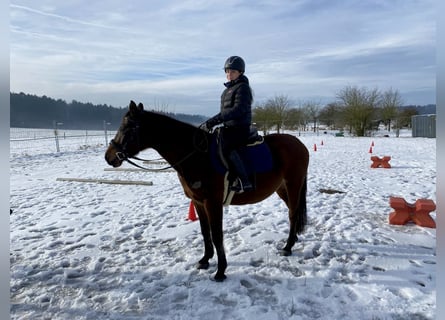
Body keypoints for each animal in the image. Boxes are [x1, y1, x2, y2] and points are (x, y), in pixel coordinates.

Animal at [104, 101, 308, 282]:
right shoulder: (198, 201)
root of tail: (299, 143)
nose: (109, 157)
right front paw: (204, 260)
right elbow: (204, 231)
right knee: (294, 212)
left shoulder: (212, 202)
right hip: (281, 188)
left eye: (128, 128)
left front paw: (220, 271)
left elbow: (217, 235)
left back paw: (287, 247)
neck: (196, 156)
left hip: (293, 185)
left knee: (292, 213)